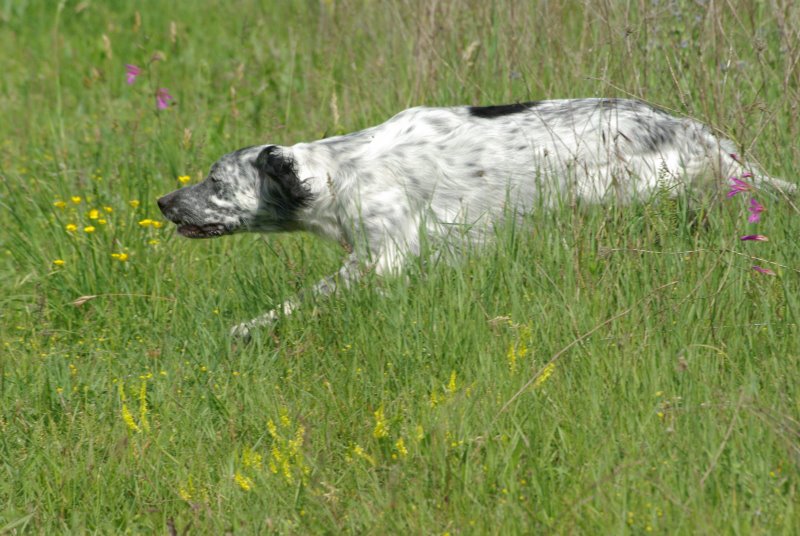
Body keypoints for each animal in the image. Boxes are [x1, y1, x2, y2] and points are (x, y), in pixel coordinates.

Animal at [158, 98, 792, 338]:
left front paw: (244, 329)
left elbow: (295, 301)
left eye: (216, 182)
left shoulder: (383, 259)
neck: (338, 173)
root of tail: (702, 135)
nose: (164, 203)